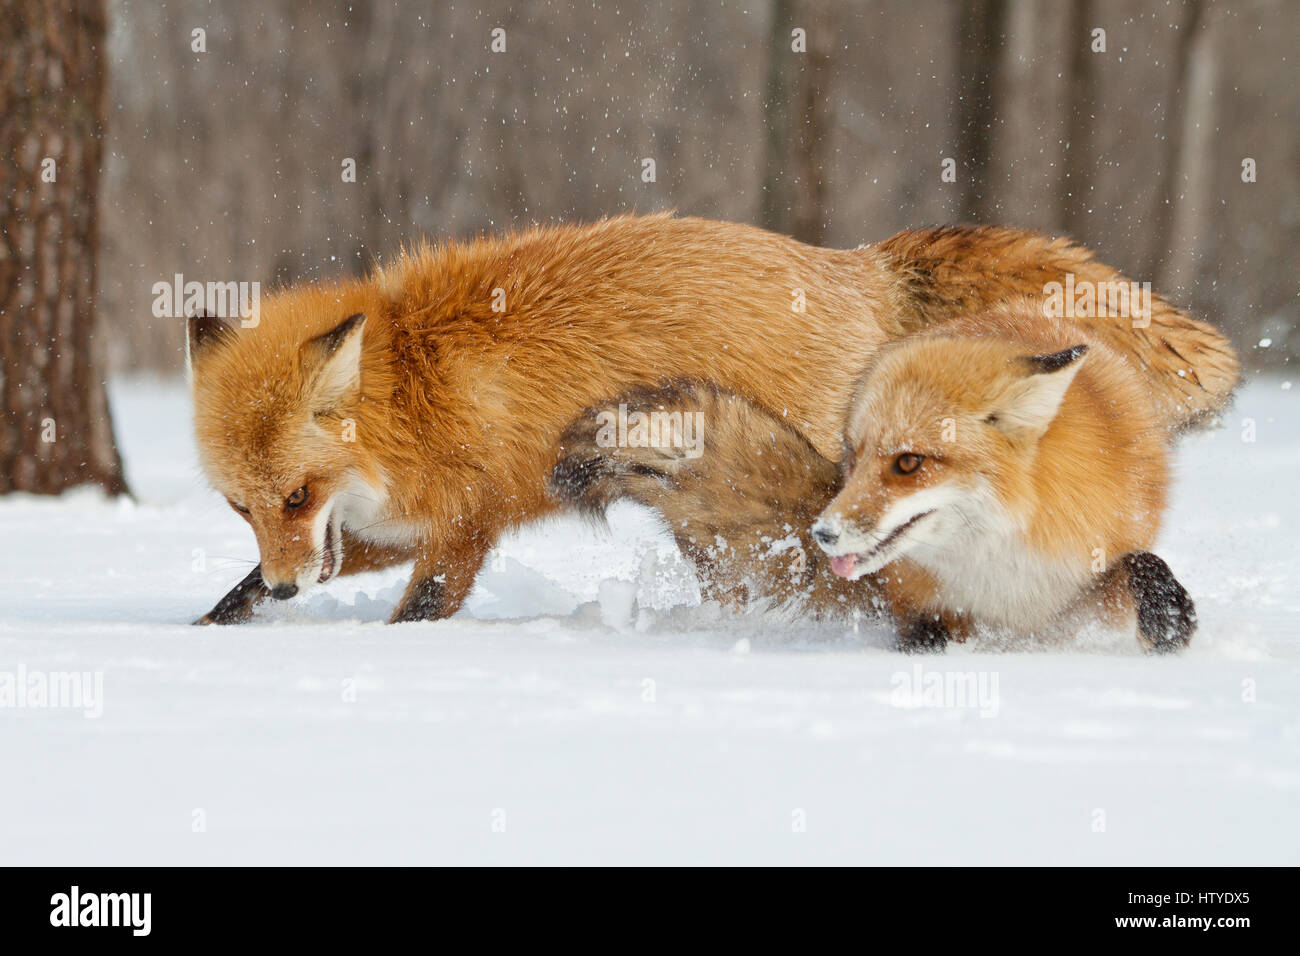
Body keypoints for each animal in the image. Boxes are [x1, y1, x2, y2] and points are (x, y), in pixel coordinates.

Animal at [553, 306, 1201, 650]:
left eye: (908, 463)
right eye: (853, 454)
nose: (822, 534)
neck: (998, 568)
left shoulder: (1082, 581)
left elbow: (1142, 565)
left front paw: (1170, 620)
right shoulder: (921, 608)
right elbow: (923, 636)